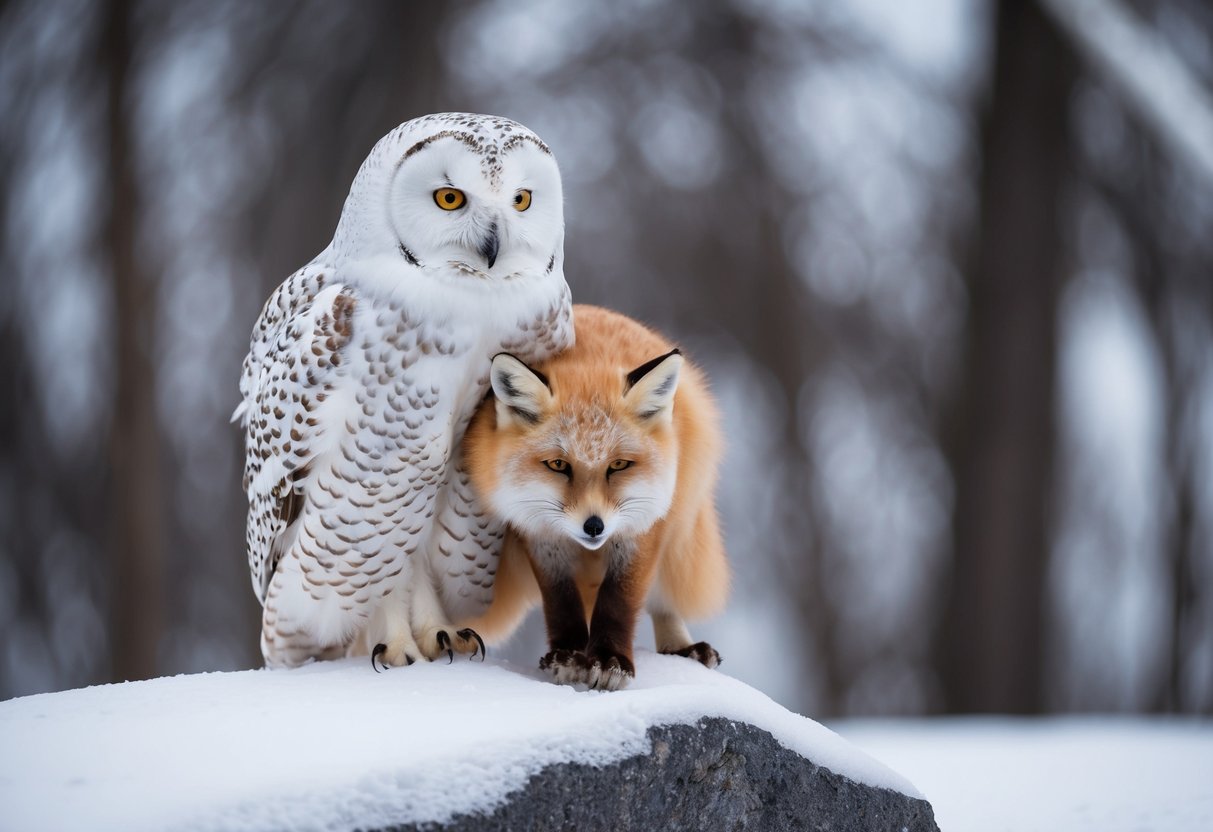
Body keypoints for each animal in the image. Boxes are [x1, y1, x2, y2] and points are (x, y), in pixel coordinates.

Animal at [458, 304, 728, 690]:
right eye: (558, 465)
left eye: (618, 465)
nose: (594, 526)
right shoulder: (538, 534)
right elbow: (561, 602)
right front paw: (569, 654)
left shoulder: (642, 530)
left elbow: (620, 601)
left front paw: (609, 661)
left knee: (663, 602)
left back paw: (681, 647)